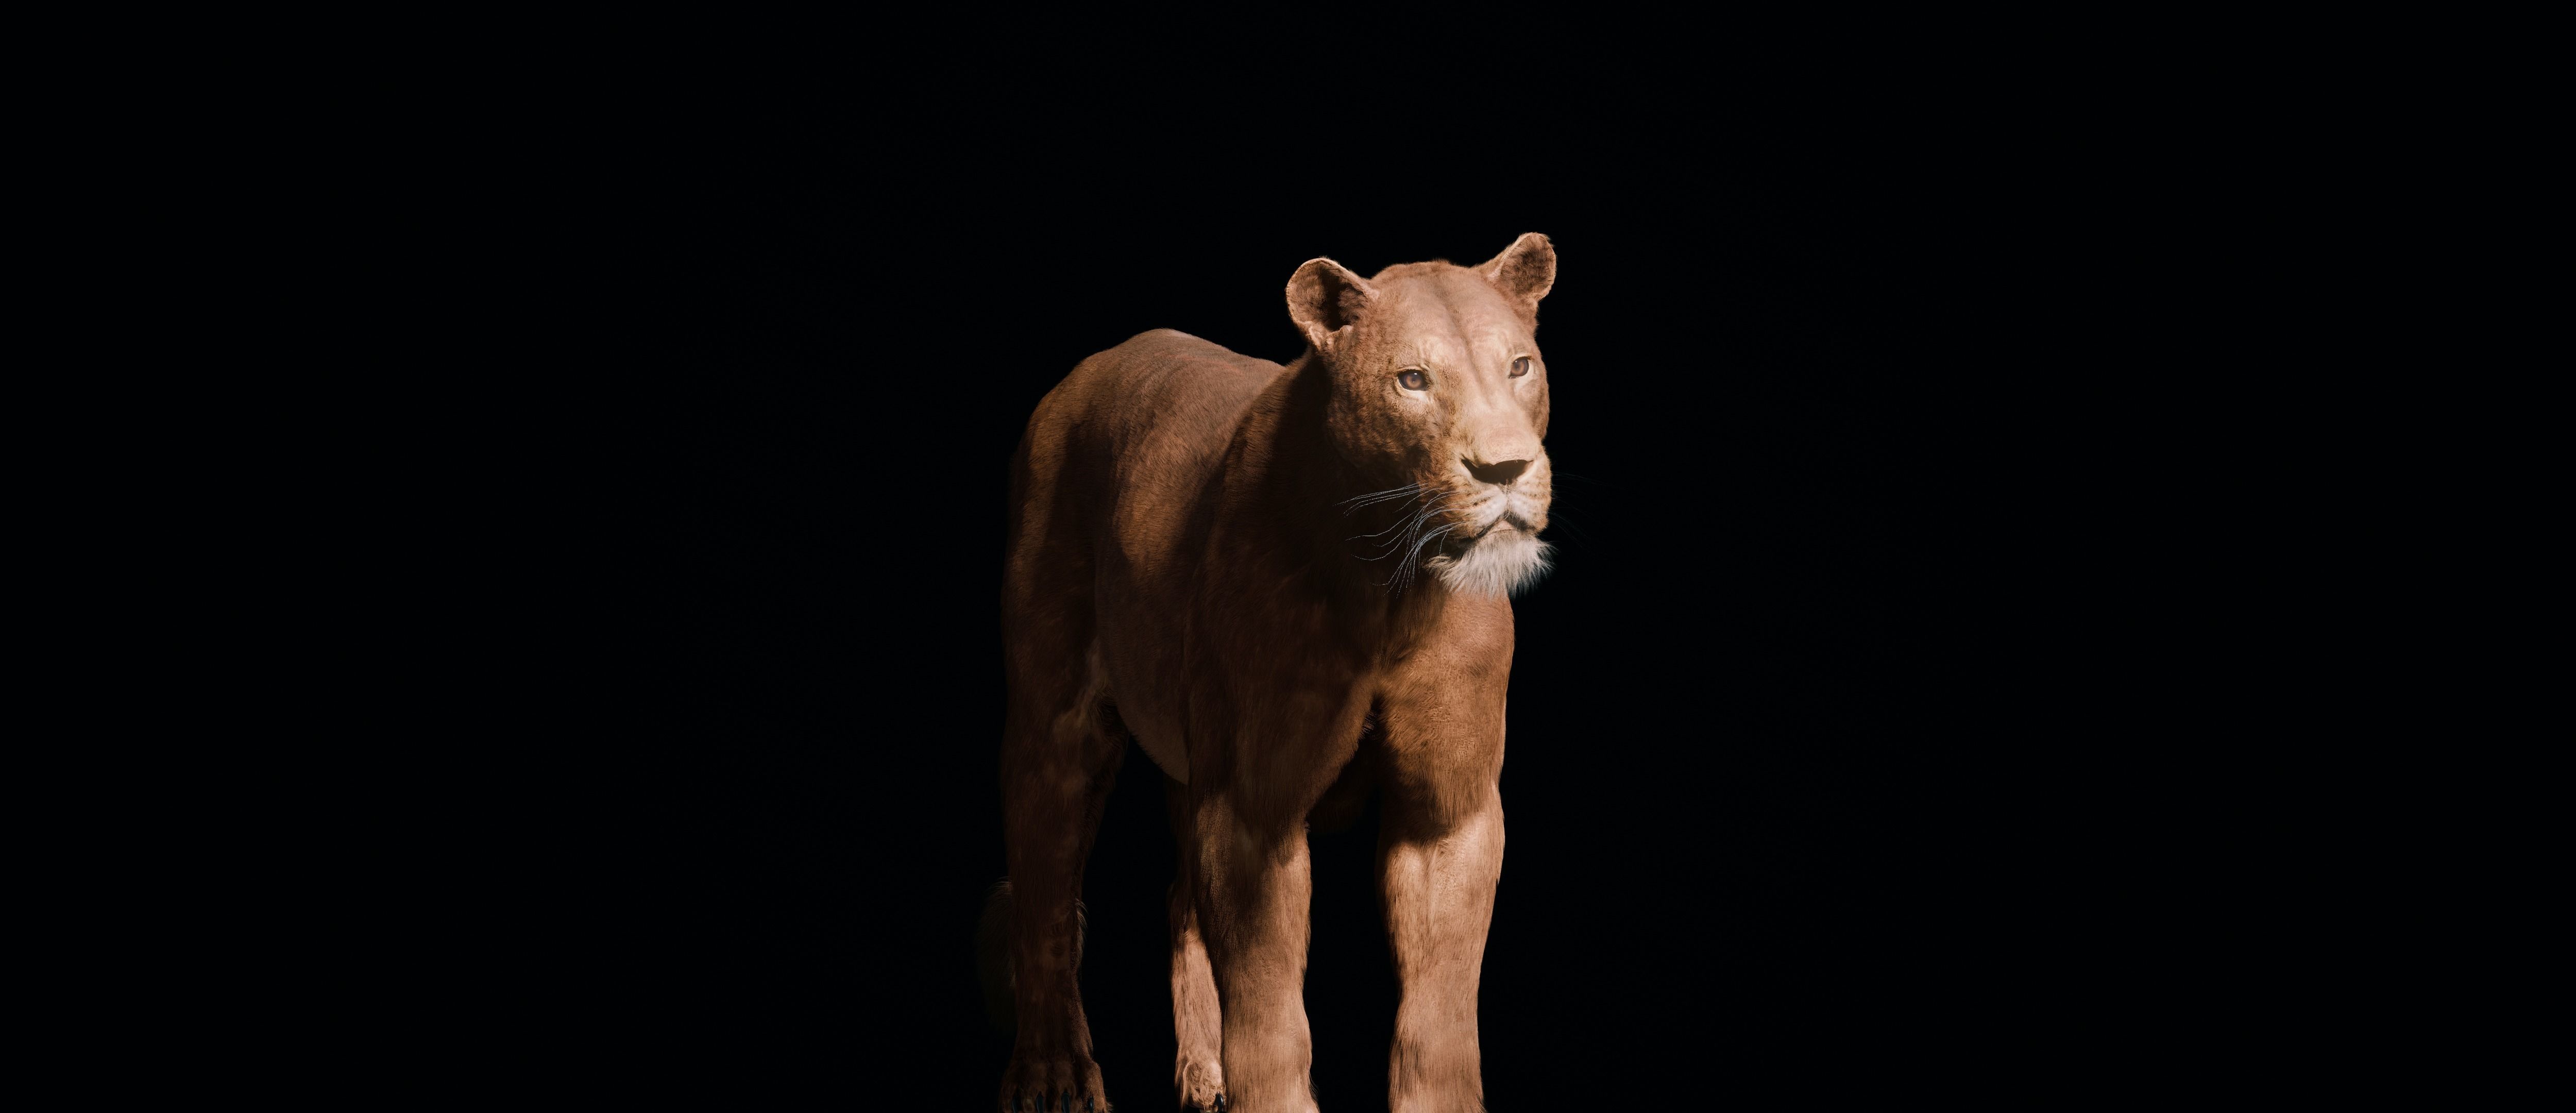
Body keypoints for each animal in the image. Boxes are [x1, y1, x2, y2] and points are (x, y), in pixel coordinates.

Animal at [985, 234, 1558, 1112]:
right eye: (1413, 380)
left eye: (1520, 366)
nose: (1504, 470)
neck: (1390, 585)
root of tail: (1084, 373)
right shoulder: (1252, 808)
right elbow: (1267, 1009)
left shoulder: (1448, 812)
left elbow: (1439, 1016)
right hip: (1055, 725)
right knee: (1044, 899)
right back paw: (1055, 1076)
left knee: (1180, 903)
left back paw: (1203, 1072)